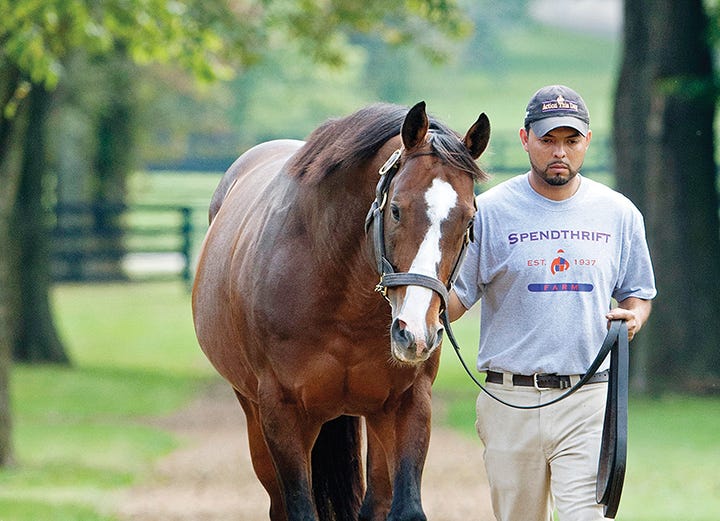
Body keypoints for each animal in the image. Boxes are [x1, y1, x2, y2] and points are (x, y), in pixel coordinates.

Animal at [191, 102, 490, 520]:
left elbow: (405, 509)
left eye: (468, 219)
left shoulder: (409, 402)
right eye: (396, 210)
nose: (415, 334)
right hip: (254, 415)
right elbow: (301, 509)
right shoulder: (281, 412)